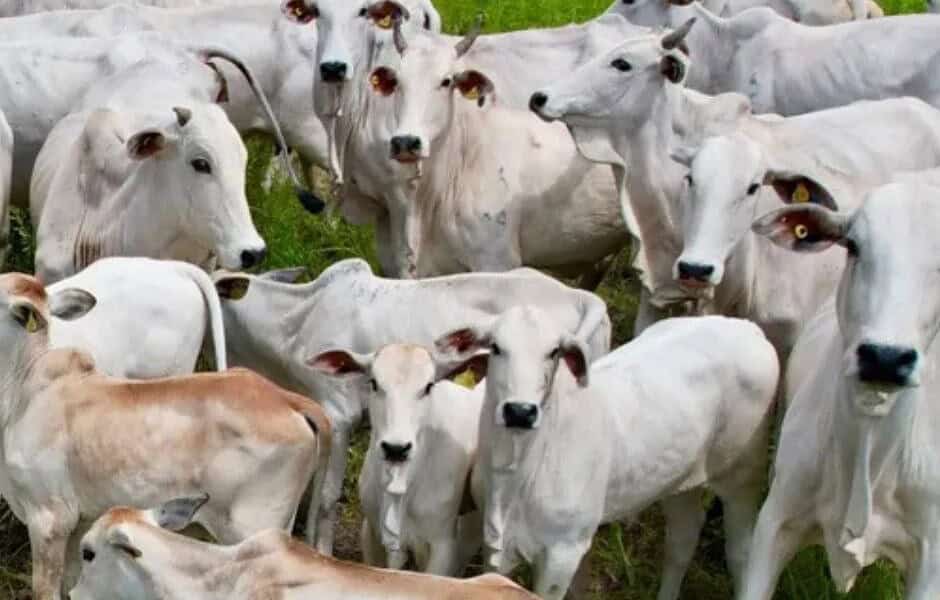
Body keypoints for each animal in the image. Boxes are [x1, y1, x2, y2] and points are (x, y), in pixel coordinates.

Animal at [435, 308, 778, 600]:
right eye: (495, 347)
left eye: (554, 352)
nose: (520, 411)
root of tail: (747, 328)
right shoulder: (494, 545)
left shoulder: (564, 552)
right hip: (681, 481)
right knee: (683, 539)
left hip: (743, 474)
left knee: (741, 553)